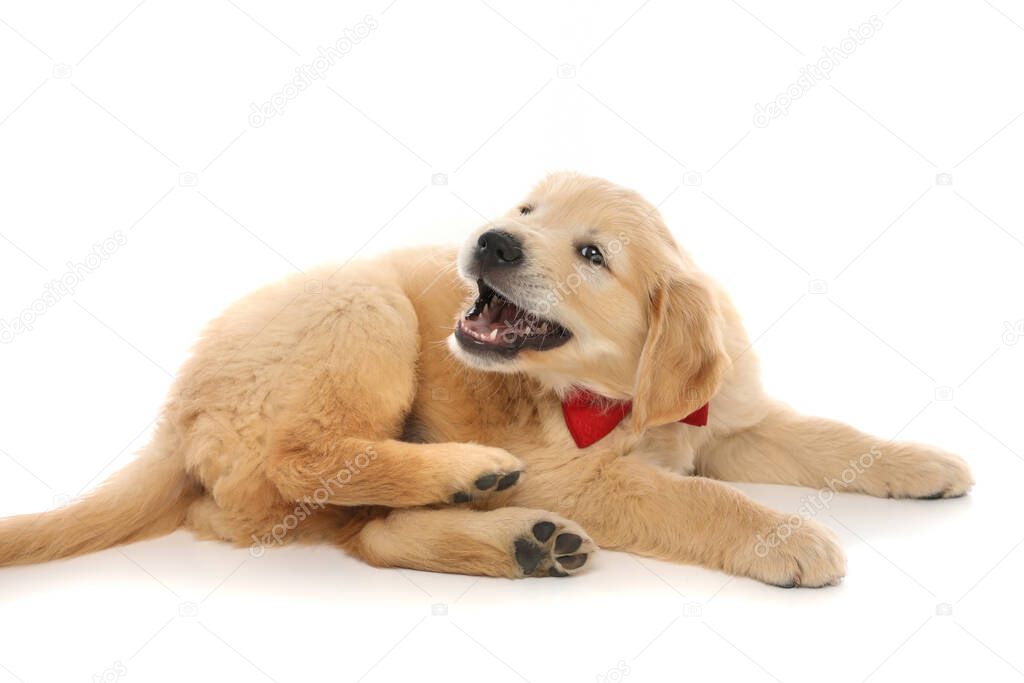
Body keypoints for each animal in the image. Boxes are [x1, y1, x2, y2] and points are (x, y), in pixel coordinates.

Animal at [0, 172, 970, 589]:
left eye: (592, 254)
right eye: (526, 210)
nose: (493, 240)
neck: (624, 395)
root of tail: (174, 414)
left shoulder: (731, 420)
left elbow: (829, 438)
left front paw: (922, 463)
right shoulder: (577, 468)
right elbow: (695, 497)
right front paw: (785, 535)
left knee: (370, 533)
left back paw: (520, 541)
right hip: (364, 305)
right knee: (303, 456)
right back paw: (473, 473)